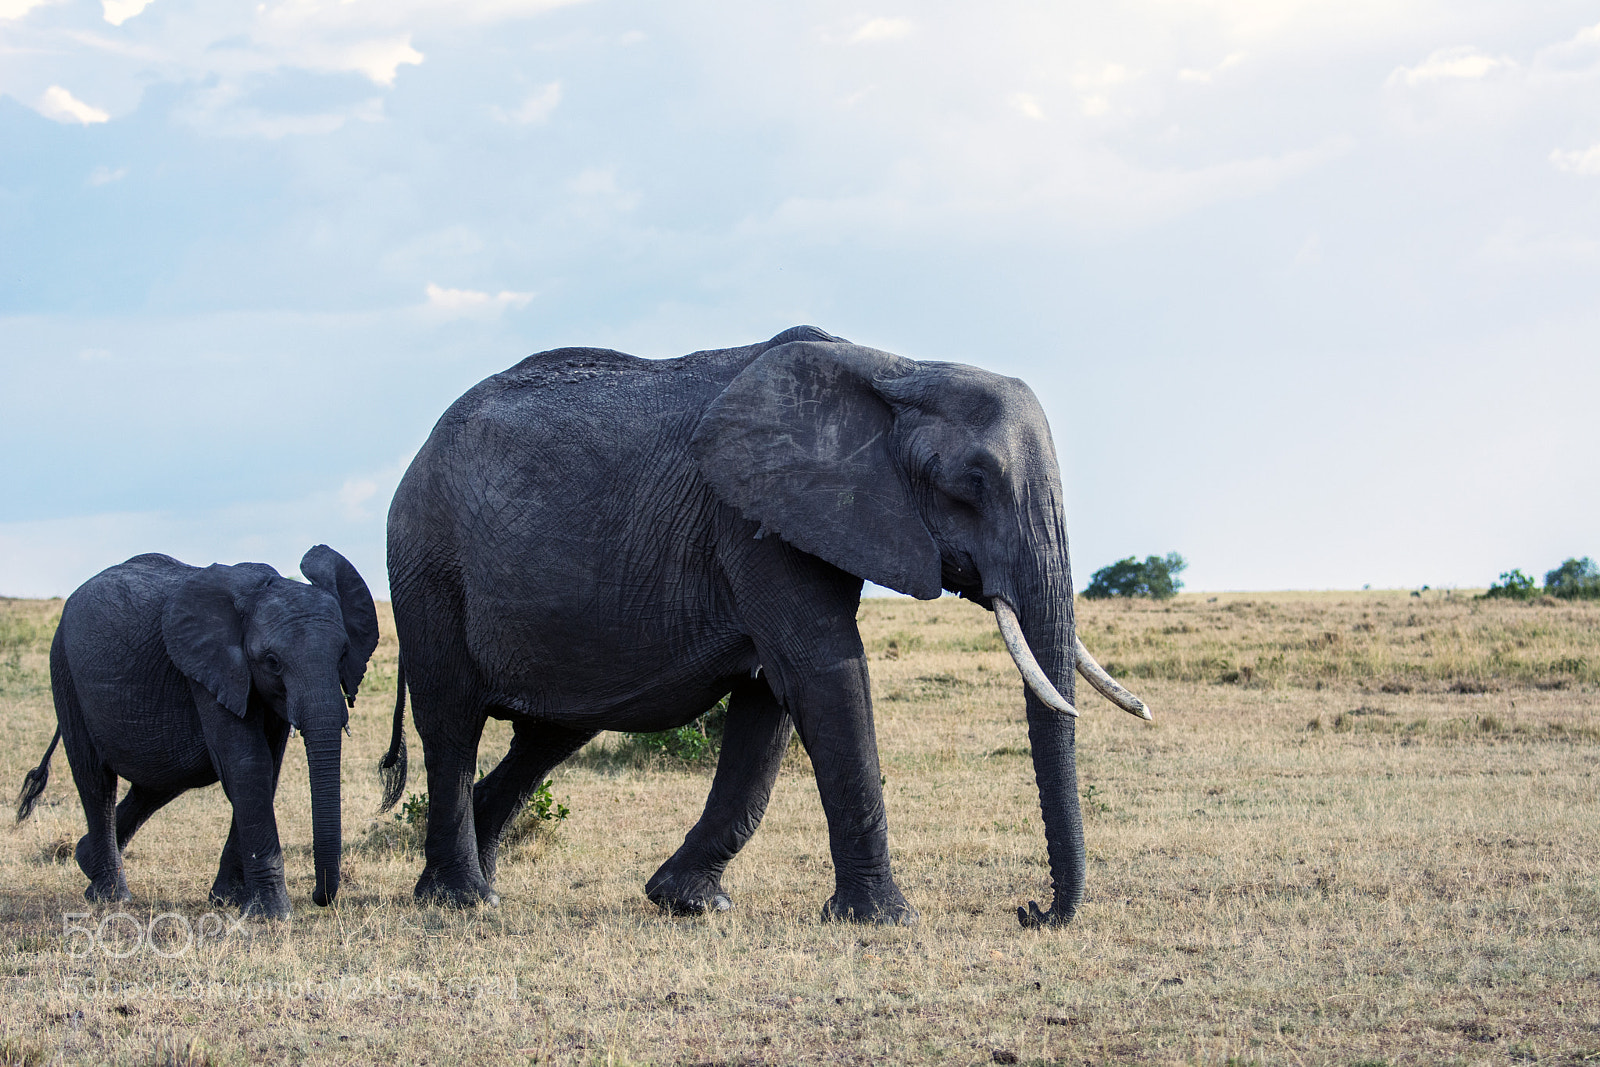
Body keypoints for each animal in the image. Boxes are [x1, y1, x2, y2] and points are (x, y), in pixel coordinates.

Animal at [15, 546, 380, 919]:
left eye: (343, 653)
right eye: (273, 662)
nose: (319, 897)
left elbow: (267, 769)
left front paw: (228, 900)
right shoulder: (208, 669)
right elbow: (247, 764)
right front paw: (271, 914)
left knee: (160, 781)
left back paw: (85, 860)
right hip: (64, 670)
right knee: (94, 778)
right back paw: (112, 896)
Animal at [381, 325, 1151, 927]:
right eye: (972, 483)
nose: (1031, 911)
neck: (897, 368)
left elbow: (768, 702)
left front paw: (688, 903)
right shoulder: (752, 523)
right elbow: (825, 673)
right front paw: (884, 919)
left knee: (549, 735)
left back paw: (470, 884)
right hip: (427, 567)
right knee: (452, 724)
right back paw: (463, 902)